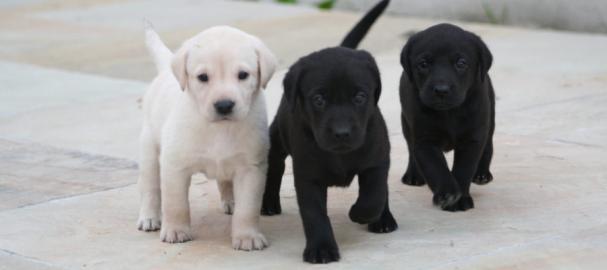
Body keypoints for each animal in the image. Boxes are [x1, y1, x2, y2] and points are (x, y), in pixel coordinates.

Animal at [138, 23, 278, 251]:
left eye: (243, 75)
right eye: (203, 77)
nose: (224, 105)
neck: (219, 129)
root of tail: (165, 69)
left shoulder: (251, 168)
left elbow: (248, 208)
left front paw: (247, 236)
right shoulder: (175, 165)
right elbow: (175, 203)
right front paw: (176, 230)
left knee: (225, 182)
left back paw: (230, 202)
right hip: (149, 147)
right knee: (150, 187)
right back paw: (149, 217)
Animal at [262, 0, 400, 262]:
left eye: (360, 97)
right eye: (318, 99)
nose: (342, 132)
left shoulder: (377, 160)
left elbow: (375, 194)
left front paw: (360, 214)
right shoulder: (308, 177)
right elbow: (315, 215)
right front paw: (321, 248)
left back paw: (384, 219)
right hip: (276, 138)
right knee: (274, 167)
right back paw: (268, 203)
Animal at [402, 23, 496, 211]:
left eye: (461, 63)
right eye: (423, 64)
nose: (441, 90)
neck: (449, 113)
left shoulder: (472, 138)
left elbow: (464, 169)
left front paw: (460, 199)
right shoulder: (424, 140)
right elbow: (436, 167)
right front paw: (448, 194)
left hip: (490, 118)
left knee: (488, 144)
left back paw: (482, 174)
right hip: (406, 123)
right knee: (410, 149)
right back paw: (413, 175)